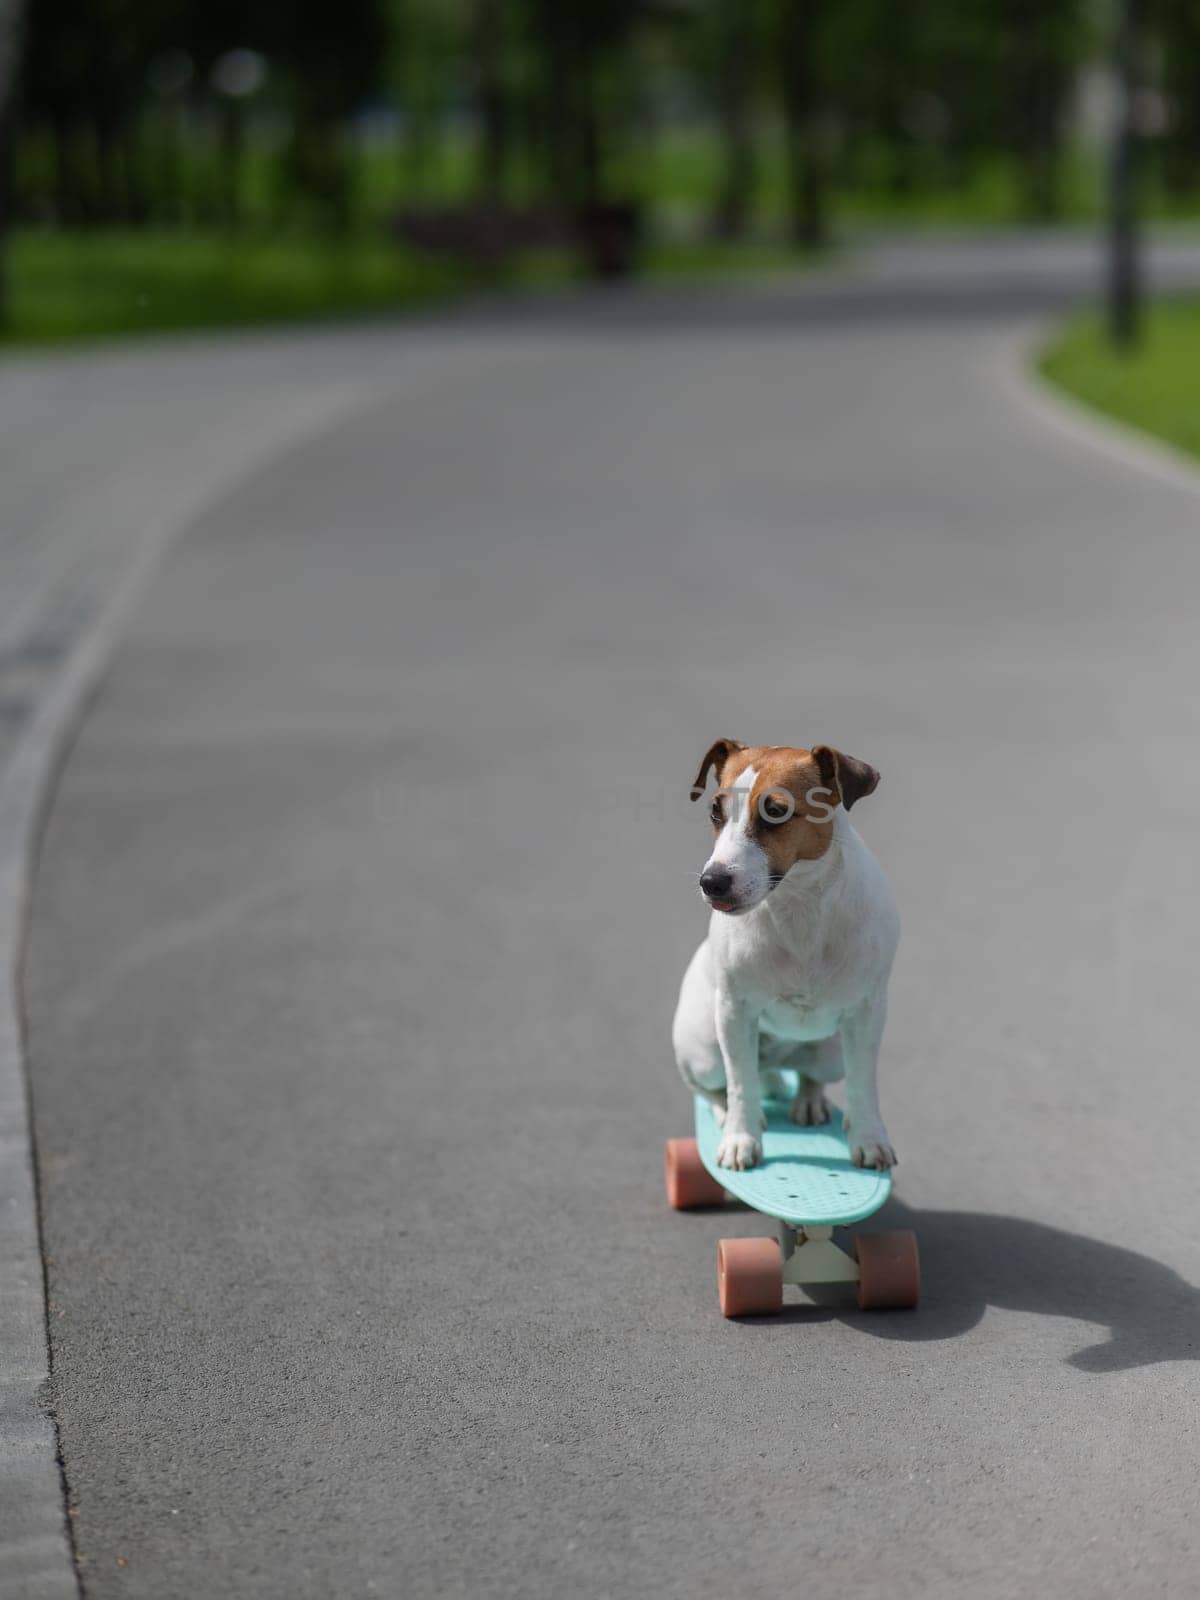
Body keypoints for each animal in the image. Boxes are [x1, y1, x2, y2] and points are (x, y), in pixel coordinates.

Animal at [672, 739, 896, 1177]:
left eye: (775, 811)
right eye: (715, 811)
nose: (711, 881)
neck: (798, 904)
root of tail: (776, 1061)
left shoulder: (867, 1014)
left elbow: (864, 1084)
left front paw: (869, 1139)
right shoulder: (735, 1012)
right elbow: (741, 1084)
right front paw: (741, 1139)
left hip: (830, 1054)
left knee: (811, 1076)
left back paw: (808, 1100)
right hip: (705, 1048)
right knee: (714, 1086)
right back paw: (726, 1113)